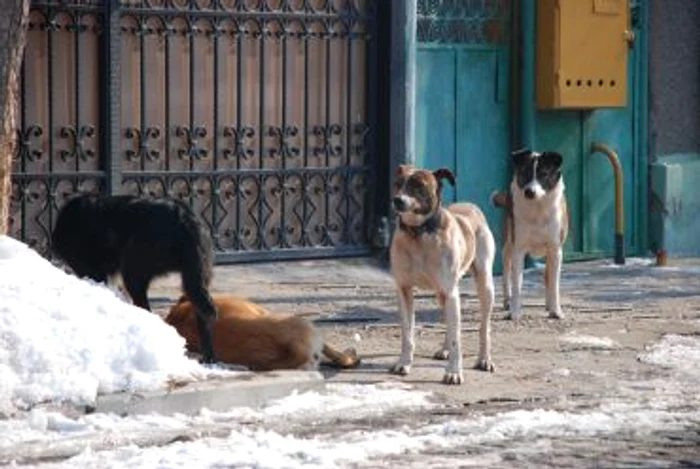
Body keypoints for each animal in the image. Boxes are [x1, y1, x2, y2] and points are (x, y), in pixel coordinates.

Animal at [51, 193, 219, 362]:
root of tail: (184, 218)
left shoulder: (92, 268)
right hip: (198, 273)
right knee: (202, 310)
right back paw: (209, 356)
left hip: (134, 268)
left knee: (144, 304)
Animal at [388, 165, 498, 384]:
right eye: (398, 183)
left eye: (418, 185)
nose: (397, 200)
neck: (419, 233)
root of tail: (471, 205)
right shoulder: (404, 290)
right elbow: (407, 333)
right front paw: (404, 363)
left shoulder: (451, 292)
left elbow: (457, 338)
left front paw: (453, 372)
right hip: (441, 294)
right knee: (449, 321)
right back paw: (445, 349)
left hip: (484, 286)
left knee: (484, 327)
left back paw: (484, 359)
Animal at [492, 148, 568, 320]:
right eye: (525, 173)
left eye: (544, 174)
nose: (529, 192)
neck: (537, 208)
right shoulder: (518, 249)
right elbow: (517, 285)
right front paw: (514, 313)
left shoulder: (555, 250)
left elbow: (554, 284)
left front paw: (556, 310)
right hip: (507, 246)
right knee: (506, 273)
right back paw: (507, 302)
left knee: (547, 277)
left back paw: (549, 305)